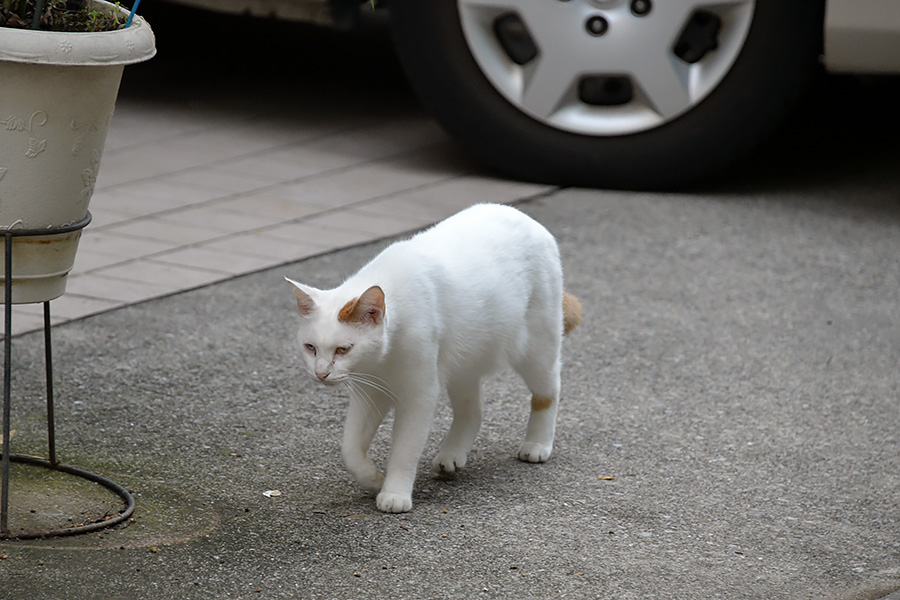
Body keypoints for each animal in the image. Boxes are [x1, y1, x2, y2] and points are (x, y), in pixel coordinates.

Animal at [288, 203, 584, 510]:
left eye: (343, 349)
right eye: (310, 347)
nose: (321, 373)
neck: (382, 361)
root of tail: (525, 217)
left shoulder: (419, 396)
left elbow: (404, 450)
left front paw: (395, 493)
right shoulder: (370, 391)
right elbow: (349, 450)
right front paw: (372, 479)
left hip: (536, 348)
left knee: (548, 391)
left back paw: (537, 444)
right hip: (464, 361)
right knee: (472, 411)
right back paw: (452, 455)